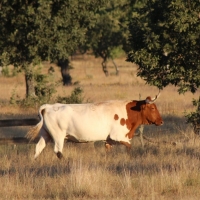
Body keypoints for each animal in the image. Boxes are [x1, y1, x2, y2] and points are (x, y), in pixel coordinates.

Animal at [26, 92, 163, 159]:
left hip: (46, 135)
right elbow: (129, 147)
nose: (161, 121)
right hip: (58, 136)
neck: (127, 111)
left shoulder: (109, 140)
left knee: (38, 148)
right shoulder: (118, 136)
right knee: (58, 151)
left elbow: (108, 151)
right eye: (152, 108)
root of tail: (49, 106)